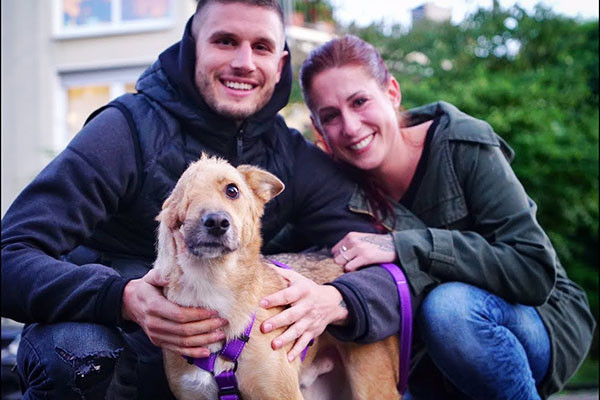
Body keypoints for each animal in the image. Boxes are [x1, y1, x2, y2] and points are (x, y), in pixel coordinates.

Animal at [154, 154, 401, 400]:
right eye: (186, 193)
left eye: (232, 190)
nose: (216, 222)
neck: (213, 282)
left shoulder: (280, 393)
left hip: (372, 385)